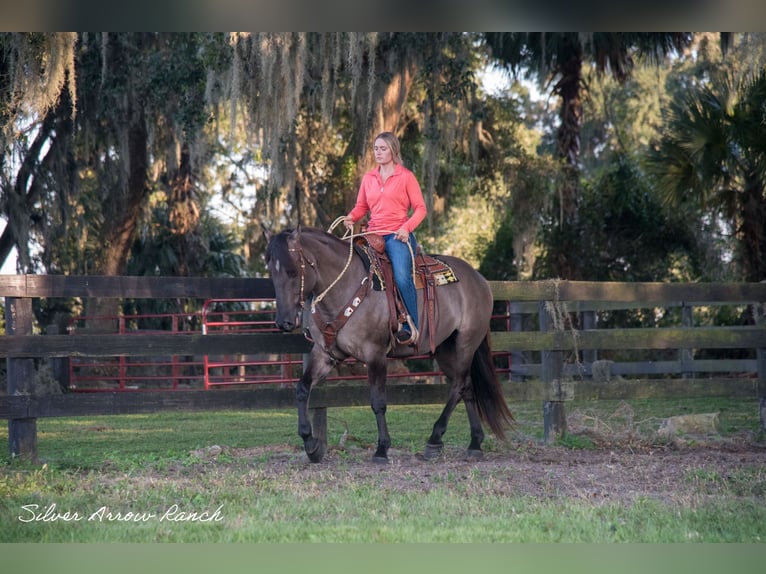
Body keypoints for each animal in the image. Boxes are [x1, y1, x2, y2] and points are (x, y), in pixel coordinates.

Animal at [266, 225, 516, 464]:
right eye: (272, 273)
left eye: (292, 271)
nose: (284, 322)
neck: (345, 287)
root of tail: (479, 279)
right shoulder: (325, 354)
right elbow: (302, 389)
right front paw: (311, 445)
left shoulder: (375, 354)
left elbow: (378, 402)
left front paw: (381, 449)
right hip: (446, 348)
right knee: (467, 387)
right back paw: (474, 444)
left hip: (466, 342)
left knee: (459, 386)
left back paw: (434, 440)